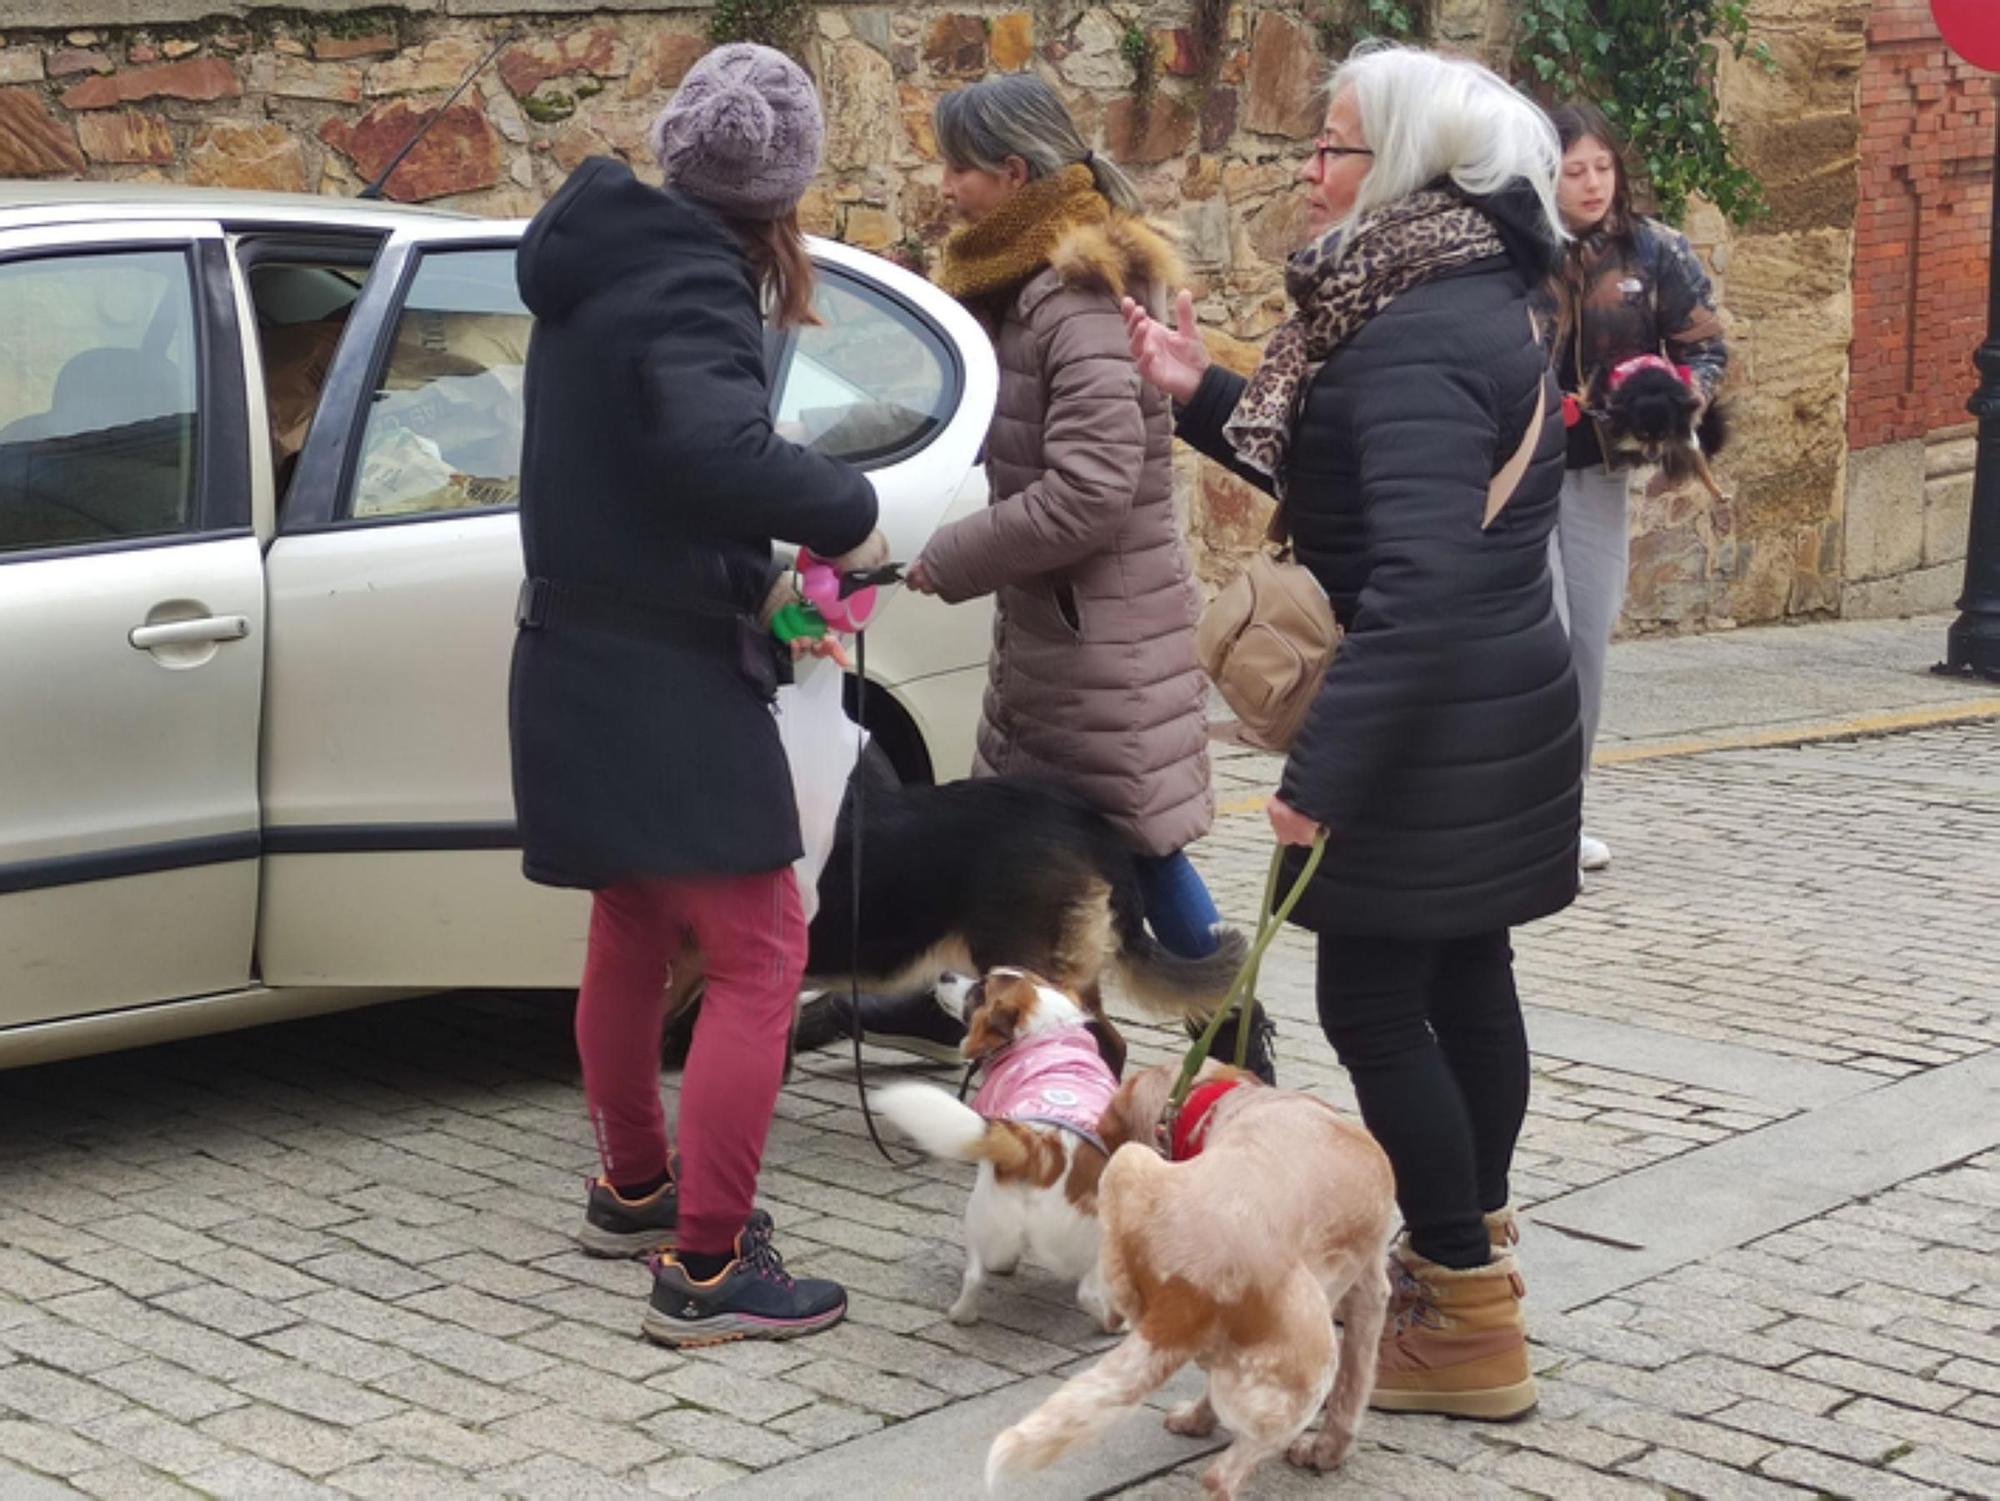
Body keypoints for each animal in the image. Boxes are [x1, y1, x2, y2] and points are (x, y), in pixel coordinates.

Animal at [876, 976, 1128, 1336]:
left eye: (979, 990)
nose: (945, 974)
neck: (1045, 1030)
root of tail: (1041, 1149)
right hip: (1097, 1240)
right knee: (1088, 1293)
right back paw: (1116, 1324)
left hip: (981, 1213)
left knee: (974, 1274)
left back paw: (964, 1312)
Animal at [980, 1056, 1392, 1501]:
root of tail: (1196, 1282)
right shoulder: (1371, 1290)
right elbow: (1355, 1385)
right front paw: (1328, 1452)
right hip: (1311, 1373)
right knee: (1222, 1476)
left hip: (1129, 1167)